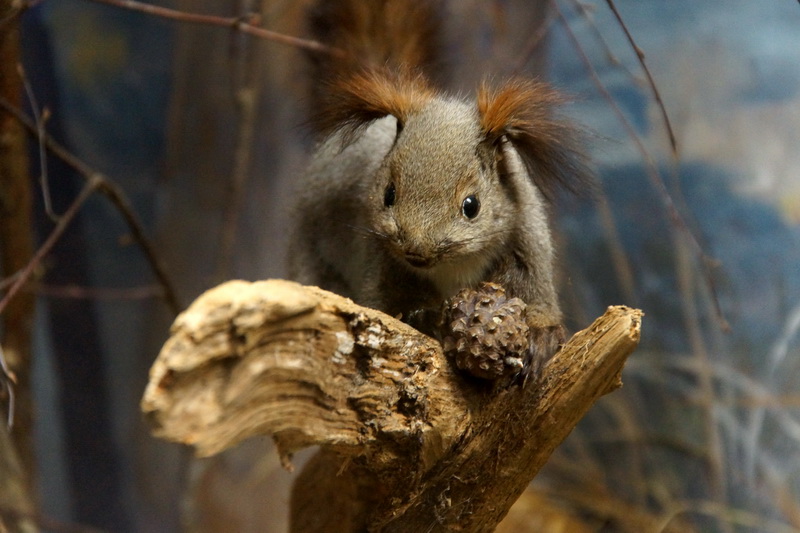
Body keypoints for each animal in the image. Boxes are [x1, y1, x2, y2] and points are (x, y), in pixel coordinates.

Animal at [288, 0, 588, 374]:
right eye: (388, 194)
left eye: (472, 205)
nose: (416, 250)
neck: (453, 268)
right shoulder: (380, 267)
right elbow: (387, 308)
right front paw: (423, 318)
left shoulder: (526, 247)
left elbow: (537, 298)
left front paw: (540, 338)